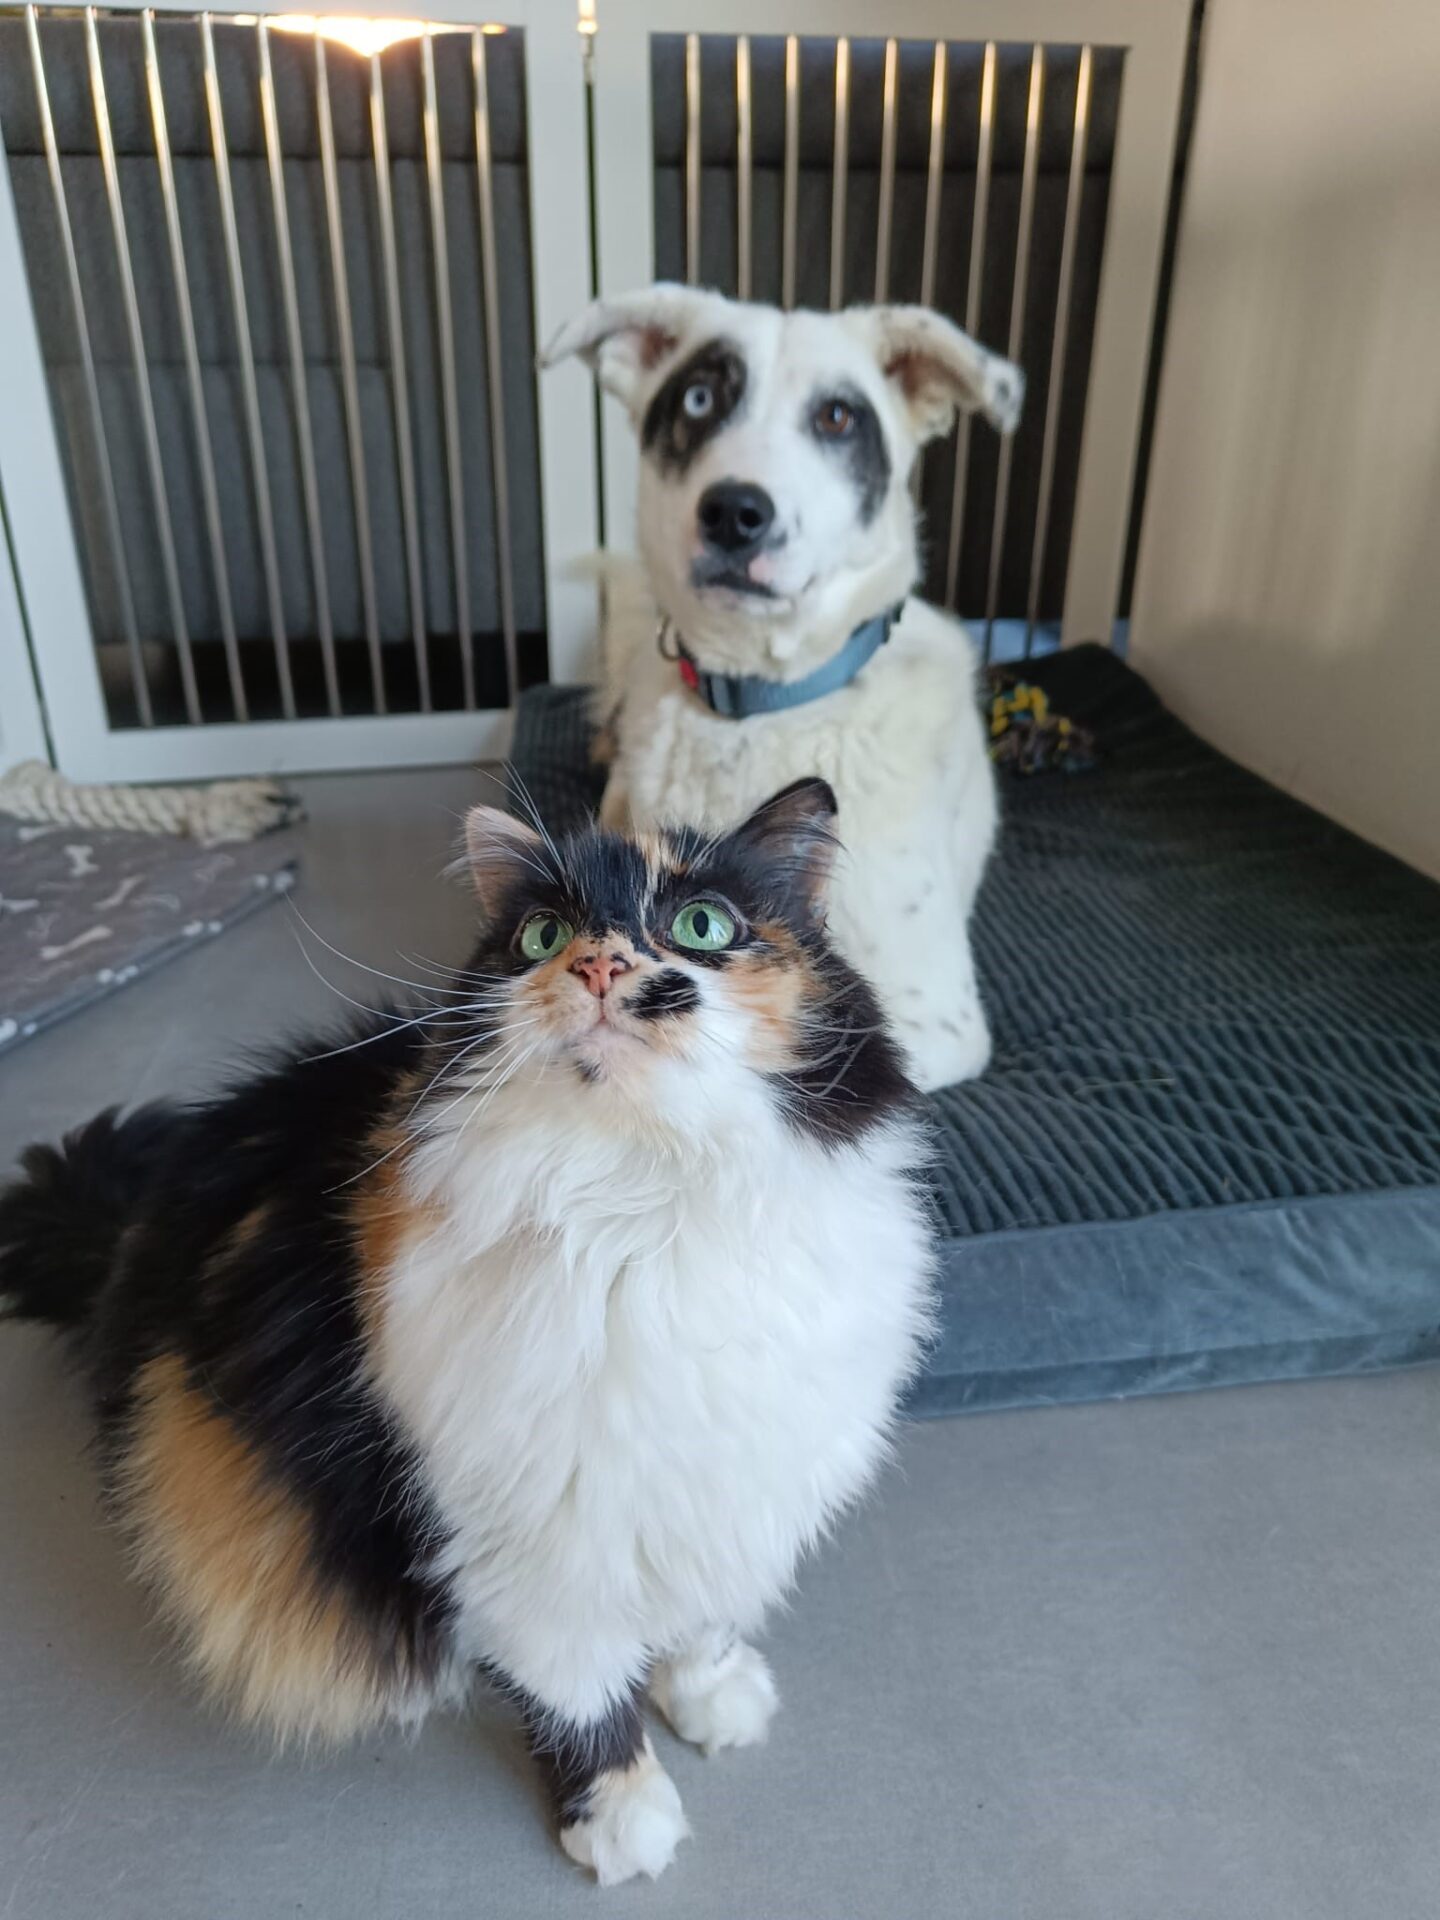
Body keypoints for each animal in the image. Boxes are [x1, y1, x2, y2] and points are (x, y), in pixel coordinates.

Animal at [0, 778, 934, 1887]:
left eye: (703, 926)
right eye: (542, 936)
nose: (601, 964)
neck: (647, 1206)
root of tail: (127, 1238)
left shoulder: (734, 1482)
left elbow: (703, 1614)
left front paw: (714, 1700)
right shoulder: (531, 1536)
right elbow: (582, 1698)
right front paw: (621, 1820)